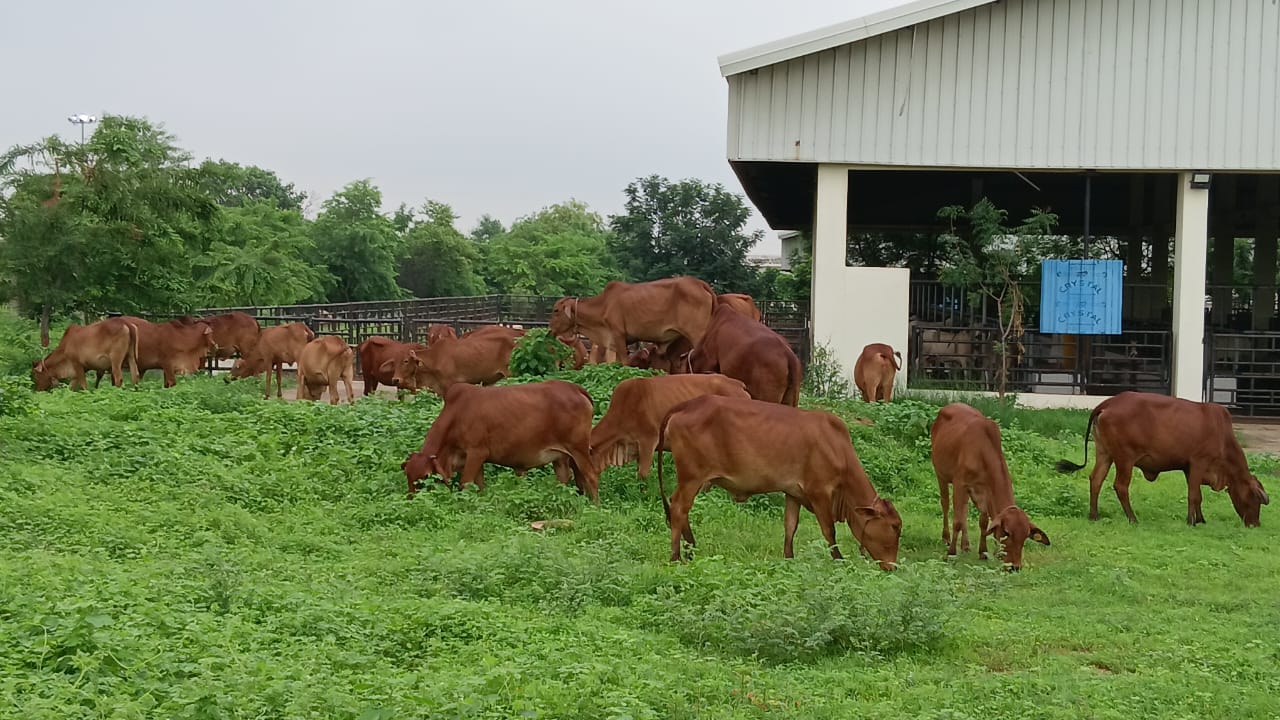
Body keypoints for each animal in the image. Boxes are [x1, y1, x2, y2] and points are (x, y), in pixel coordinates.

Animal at [401, 380, 600, 501]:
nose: (412, 500)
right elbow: (480, 486)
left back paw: (594, 507)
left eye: (426, 476)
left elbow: (465, 484)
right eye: (408, 476)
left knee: (591, 476)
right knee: (566, 479)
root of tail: (575, 388)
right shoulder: (474, 459)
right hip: (561, 456)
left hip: (579, 449)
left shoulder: (477, 452)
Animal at [549, 277, 716, 364]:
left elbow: (624, 362)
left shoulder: (619, 336)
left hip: (696, 334)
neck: (604, 304)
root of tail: (700, 283)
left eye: (556, 310)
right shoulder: (611, 343)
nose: (550, 330)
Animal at [657, 395, 902, 569]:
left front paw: (789, 558)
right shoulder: (819, 492)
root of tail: (687, 405)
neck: (837, 448)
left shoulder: (793, 492)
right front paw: (839, 561)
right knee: (679, 508)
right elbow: (829, 531)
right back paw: (676, 556)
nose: (893, 566)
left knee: (680, 508)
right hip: (691, 477)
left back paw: (691, 549)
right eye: (894, 526)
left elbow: (790, 526)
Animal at [931, 403, 1050, 571]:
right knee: (946, 505)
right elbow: (957, 521)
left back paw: (966, 545)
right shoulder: (960, 484)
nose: (1015, 567)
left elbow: (983, 523)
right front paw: (951, 554)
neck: (982, 451)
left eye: (1025, 536)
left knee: (964, 511)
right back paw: (946, 538)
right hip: (940, 474)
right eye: (1006, 532)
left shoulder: (985, 492)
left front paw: (983, 552)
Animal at [1056, 391, 1270, 527]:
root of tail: (1108, 402)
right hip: (1125, 458)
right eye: (1255, 498)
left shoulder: (1188, 468)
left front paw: (1200, 519)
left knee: (1096, 479)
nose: (1255, 524)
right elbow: (1194, 495)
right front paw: (1191, 522)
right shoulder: (1199, 462)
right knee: (1120, 486)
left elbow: (1196, 495)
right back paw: (1132, 518)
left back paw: (1094, 515)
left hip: (1104, 453)